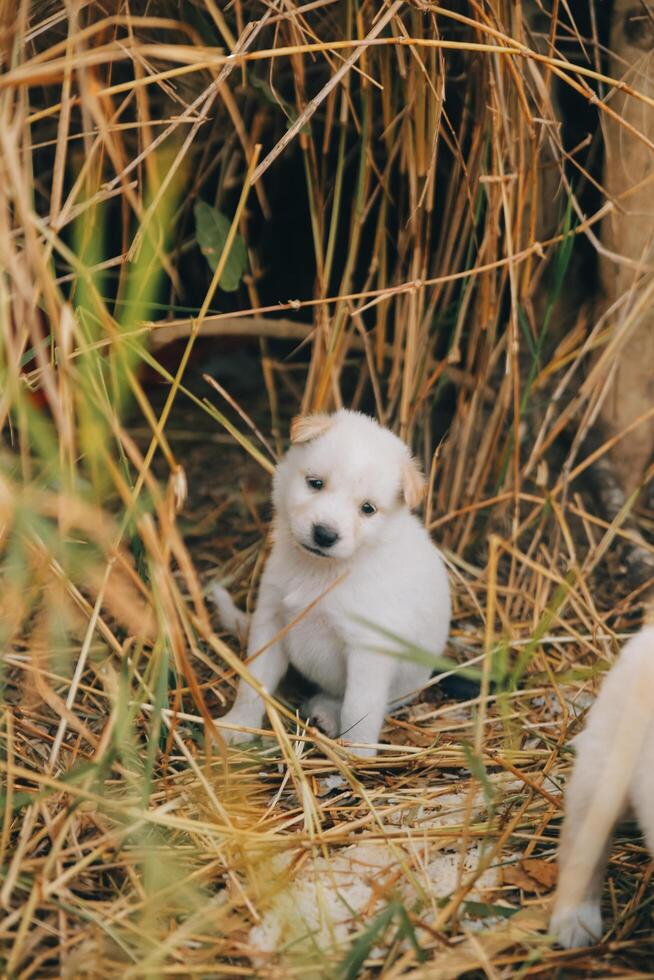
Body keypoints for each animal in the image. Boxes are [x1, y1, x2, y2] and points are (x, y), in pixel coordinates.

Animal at [210, 408, 452, 756]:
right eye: (316, 484)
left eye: (368, 509)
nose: (324, 534)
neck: (322, 570)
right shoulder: (271, 621)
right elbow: (252, 681)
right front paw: (239, 724)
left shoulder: (367, 650)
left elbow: (358, 707)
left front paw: (358, 753)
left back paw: (326, 713)